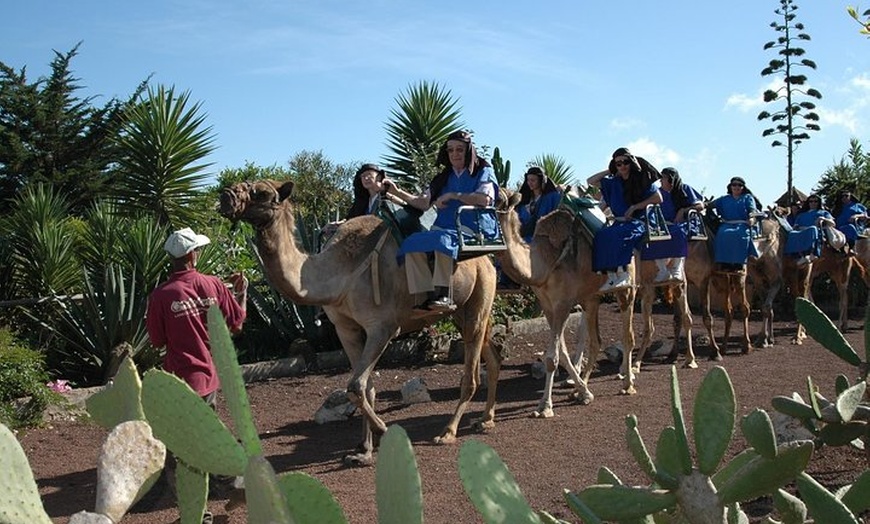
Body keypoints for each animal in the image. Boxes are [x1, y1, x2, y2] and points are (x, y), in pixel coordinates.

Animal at [221, 180, 500, 466]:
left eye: (262, 193)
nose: (226, 197)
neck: (340, 273)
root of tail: (486, 260)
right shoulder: (347, 329)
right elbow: (366, 388)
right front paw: (364, 451)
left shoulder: (383, 327)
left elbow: (356, 385)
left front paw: (383, 430)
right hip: (461, 311)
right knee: (491, 353)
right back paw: (485, 420)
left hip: (480, 297)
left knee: (471, 373)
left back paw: (448, 432)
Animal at [498, 188, 640, 418]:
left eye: (497, 199)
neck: (544, 261)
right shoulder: (547, 305)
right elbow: (562, 353)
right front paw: (584, 392)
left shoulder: (563, 304)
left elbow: (552, 357)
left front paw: (545, 406)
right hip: (591, 297)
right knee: (596, 341)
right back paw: (579, 390)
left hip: (627, 289)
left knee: (628, 336)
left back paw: (627, 384)